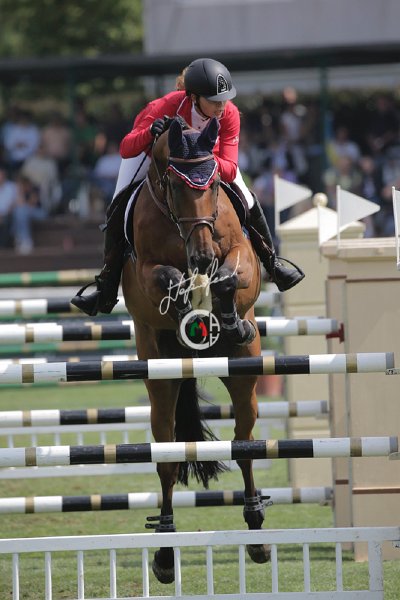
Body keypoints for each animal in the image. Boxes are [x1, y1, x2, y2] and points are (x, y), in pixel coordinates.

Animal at [122, 116, 270, 584]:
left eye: (214, 183)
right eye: (174, 182)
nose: (202, 256)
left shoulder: (241, 254)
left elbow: (231, 276)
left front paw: (225, 312)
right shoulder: (146, 272)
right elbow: (167, 278)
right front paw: (187, 300)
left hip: (244, 375)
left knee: (244, 444)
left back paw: (257, 533)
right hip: (160, 381)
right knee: (168, 461)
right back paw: (165, 554)